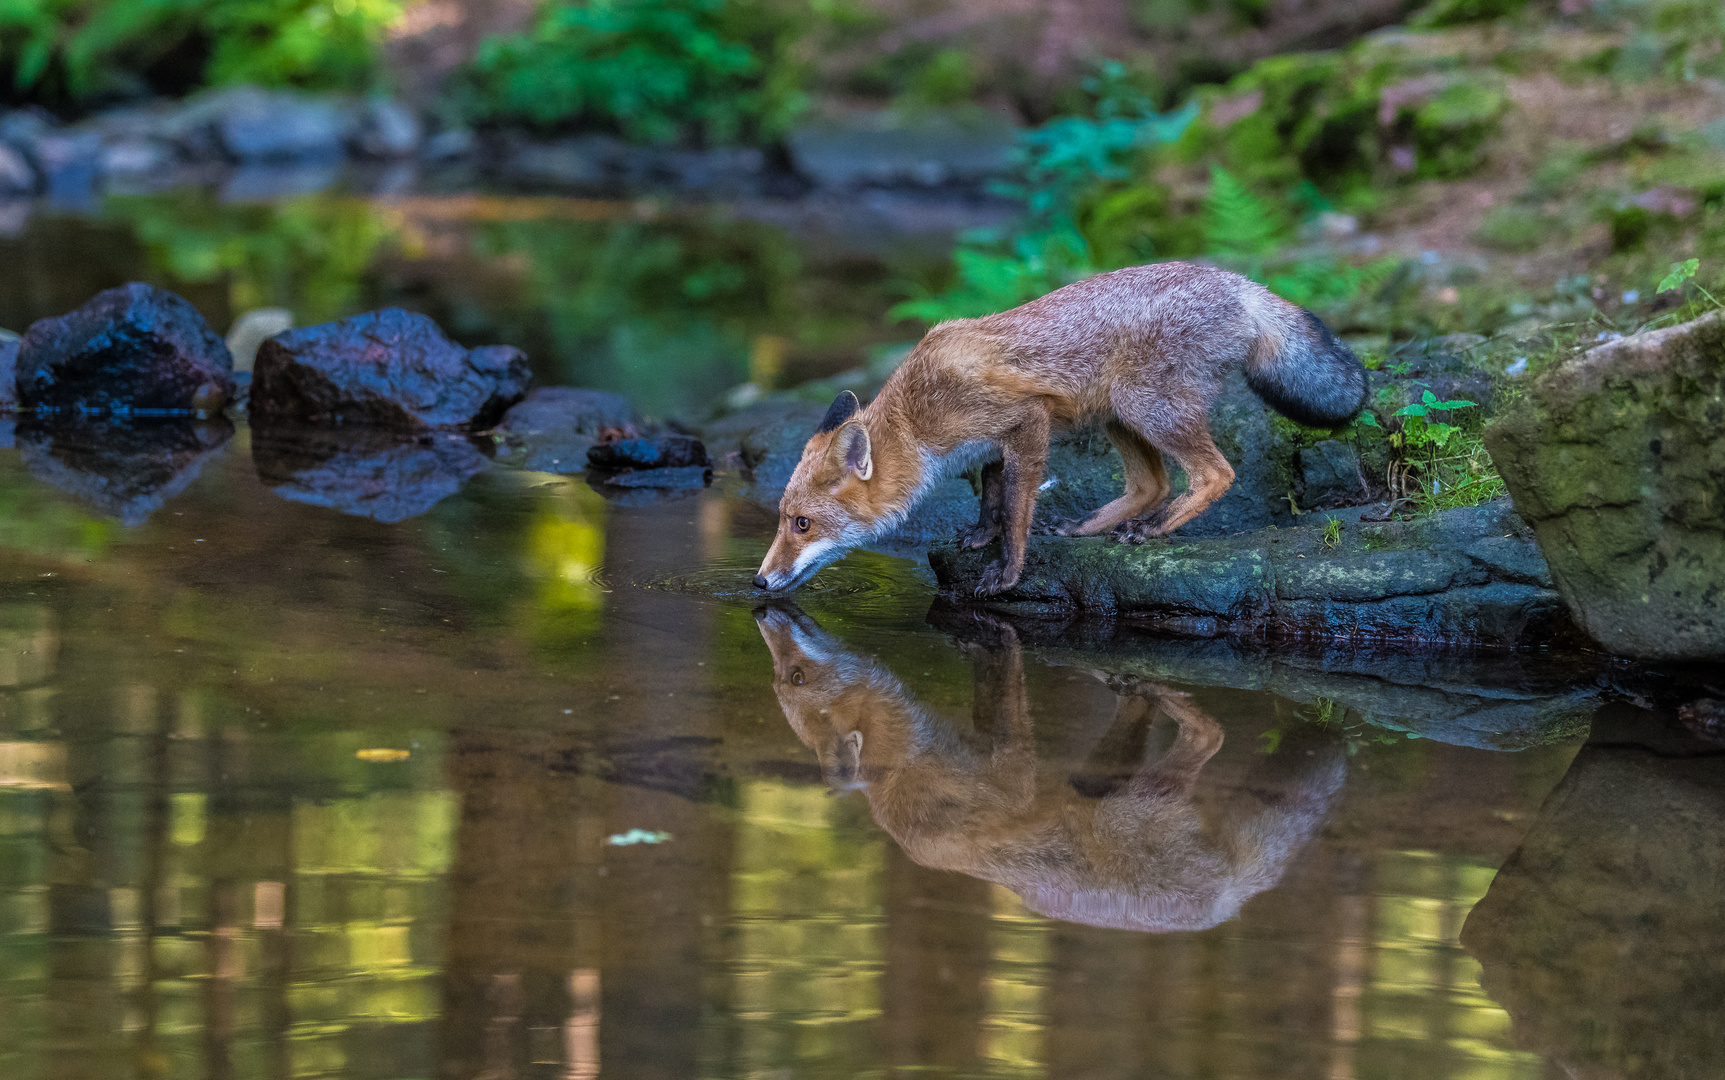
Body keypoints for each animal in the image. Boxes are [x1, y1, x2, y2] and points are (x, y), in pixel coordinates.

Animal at [748, 263, 1366, 593]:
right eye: (784, 519)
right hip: (1117, 414)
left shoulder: (1026, 418)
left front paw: (1008, 568)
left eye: (801, 524)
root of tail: (1238, 282)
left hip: (1142, 405)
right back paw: (1091, 526)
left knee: (1213, 475)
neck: (916, 420)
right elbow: (993, 490)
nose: (756, 582)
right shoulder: (992, 441)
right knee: (1152, 484)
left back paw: (1152, 529)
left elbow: (1017, 506)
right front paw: (981, 535)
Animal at [759, 600, 1345, 931]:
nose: (764, 605)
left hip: (1127, 804)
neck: (902, 773)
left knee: (1209, 732)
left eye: (794, 676)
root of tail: (1226, 903)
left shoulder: (993, 784)